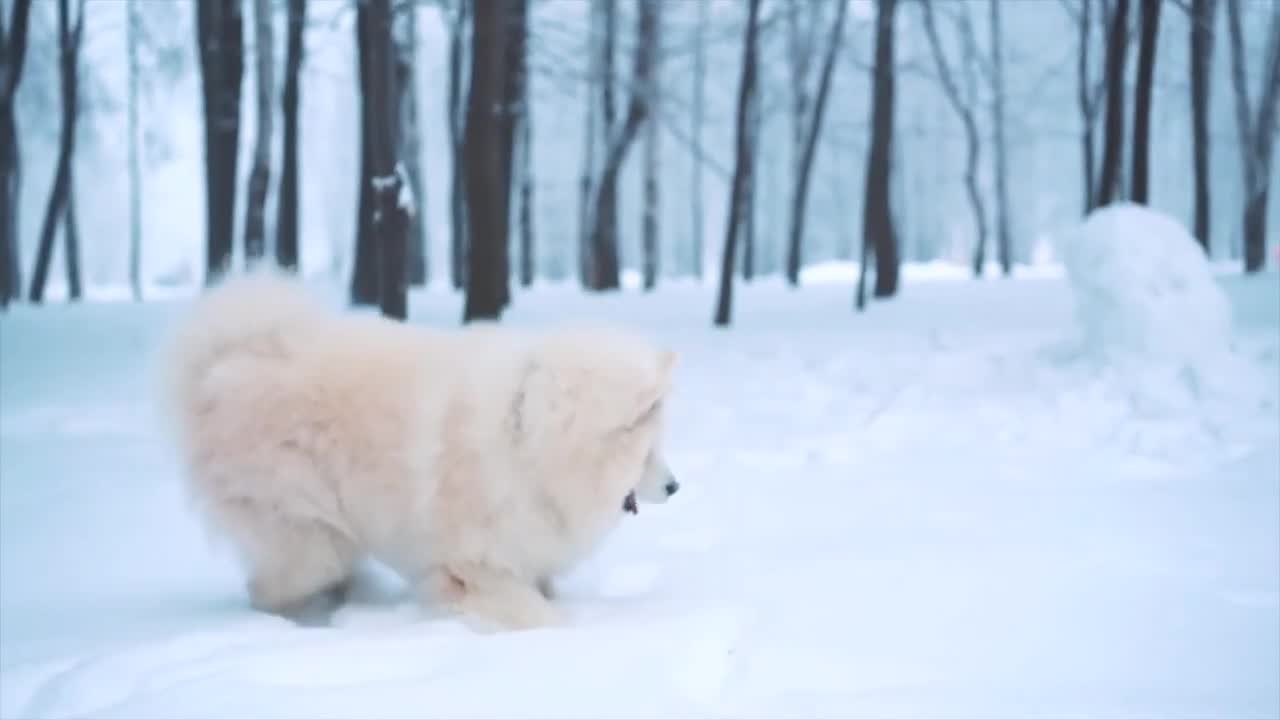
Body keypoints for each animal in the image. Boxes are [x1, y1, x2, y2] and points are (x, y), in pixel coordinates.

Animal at [160, 271, 680, 630]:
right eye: (648, 450)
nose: (676, 486)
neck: (526, 438)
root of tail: (222, 362)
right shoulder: (474, 563)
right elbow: (532, 611)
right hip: (306, 531)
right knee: (277, 585)